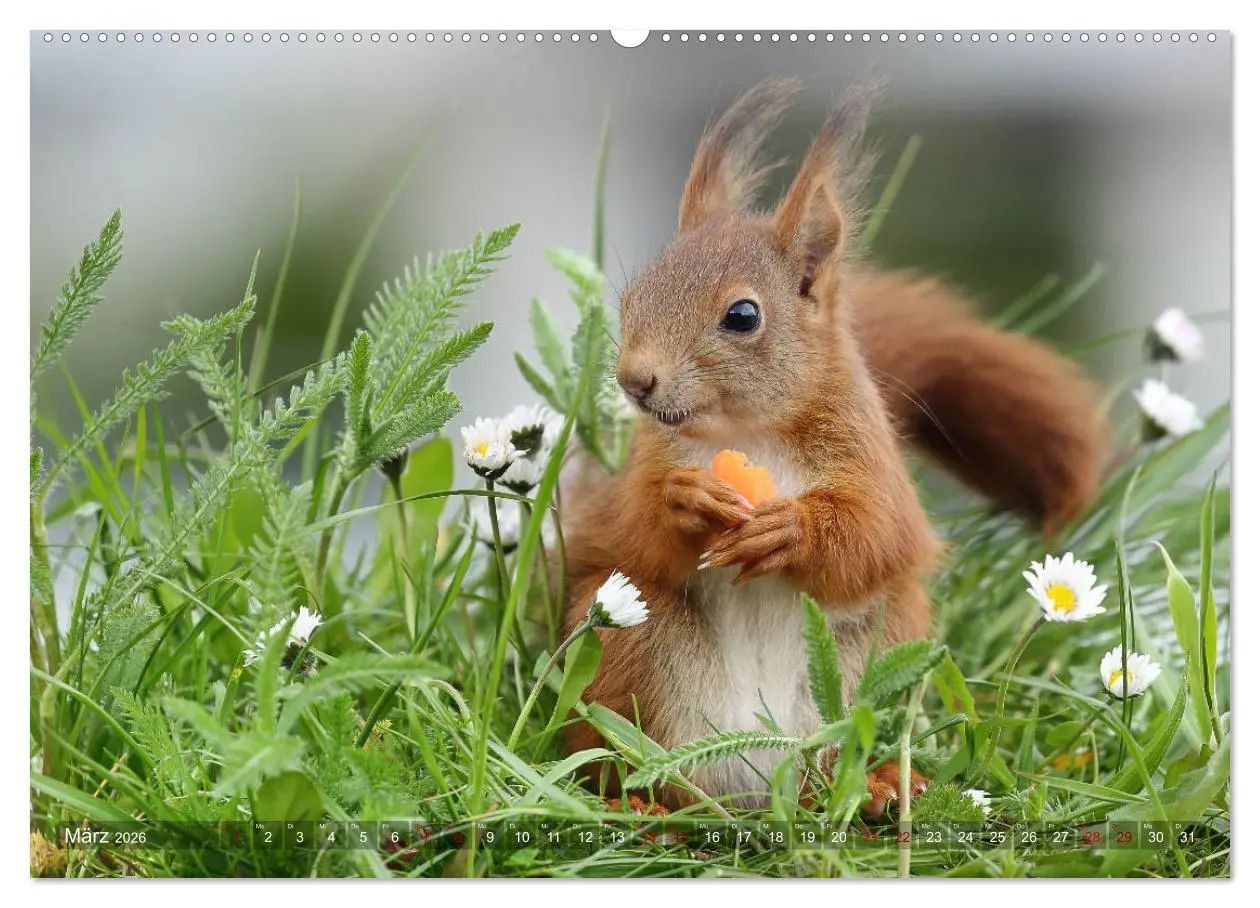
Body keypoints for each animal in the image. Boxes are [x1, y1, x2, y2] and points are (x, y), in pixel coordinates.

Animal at [560, 79, 1107, 811]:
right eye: (634, 296)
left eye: (743, 316)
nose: (635, 381)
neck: (748, 432)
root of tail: (757, 781)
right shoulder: (638, 475)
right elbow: (631, 530)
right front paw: (685, 499)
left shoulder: (872, 461)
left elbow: (877, 534)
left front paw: (792, 529)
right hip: (628, 647)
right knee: (627, 755)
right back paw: (637, 800)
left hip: (869, 659)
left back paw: (875, 786)